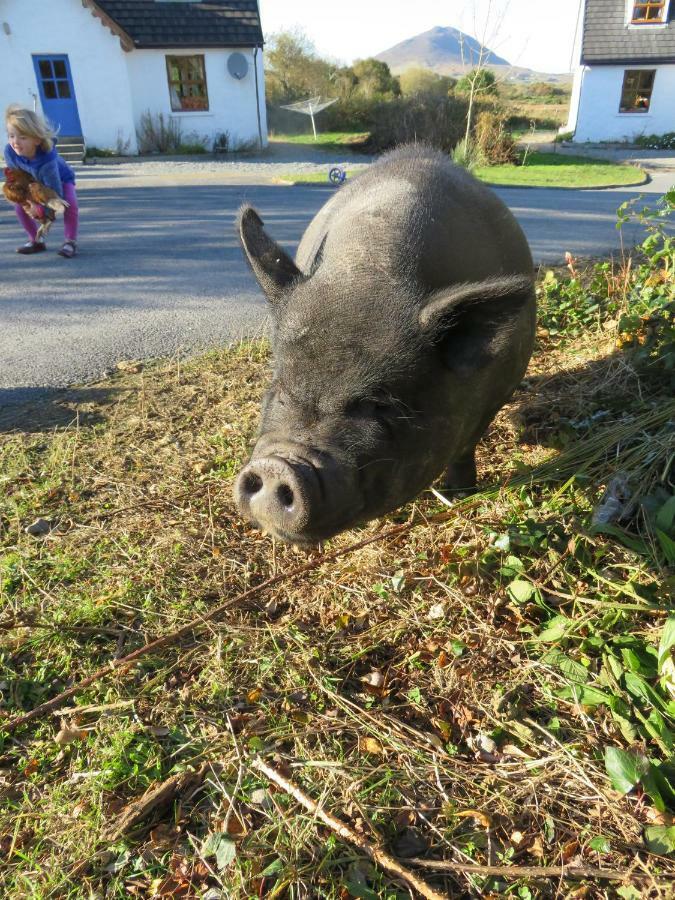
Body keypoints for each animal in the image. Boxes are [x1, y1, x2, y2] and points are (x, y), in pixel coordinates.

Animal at [235, 144, 536, 544]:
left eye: (378, 404)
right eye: (281, 388)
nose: (275, 467)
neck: (366, 273)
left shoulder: (496, 395)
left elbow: (465, 448)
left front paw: (460, 496)